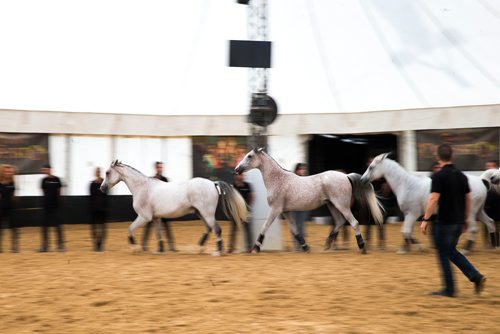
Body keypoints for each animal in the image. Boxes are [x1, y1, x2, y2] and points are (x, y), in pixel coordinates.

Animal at [99, 160, 248, 254]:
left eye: (107, 172)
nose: (102, 188)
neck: (142, 187)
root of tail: (213, 183)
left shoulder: (144, 217)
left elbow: (130, 229)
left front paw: (134, 248)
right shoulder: (156, 218)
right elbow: (158, 233)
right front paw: (160, 250)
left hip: (207, 213)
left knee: (216, 229)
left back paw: (218, 252)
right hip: (201, 213)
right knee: (209, 228)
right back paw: (200, 248)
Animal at [234, 148, 382, 253]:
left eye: (249, 156)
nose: (237, 169)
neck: (278, 180)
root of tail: (346, 176)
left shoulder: (275, 209)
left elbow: (265, 226)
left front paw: (255, 248)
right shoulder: (286, 211)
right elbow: (295, 230)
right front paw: (305, 247)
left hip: (341, 205)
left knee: (354, 222)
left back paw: (362, 247)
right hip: (333, 205)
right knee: (340, 222)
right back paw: (327, 245)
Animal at [360, 153, 496, 253]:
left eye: (371, 167)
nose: (362, 180)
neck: (407, 185)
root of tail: (481, 180)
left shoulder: (412, 214)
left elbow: (405, 231)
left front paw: (412, 248)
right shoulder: (409, 215)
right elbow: (406, 232)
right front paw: (408, 248)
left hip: (471, 213)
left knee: (473, 229)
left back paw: (466, 249)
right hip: (479, 211)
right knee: (490, 223)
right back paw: (494, 246)